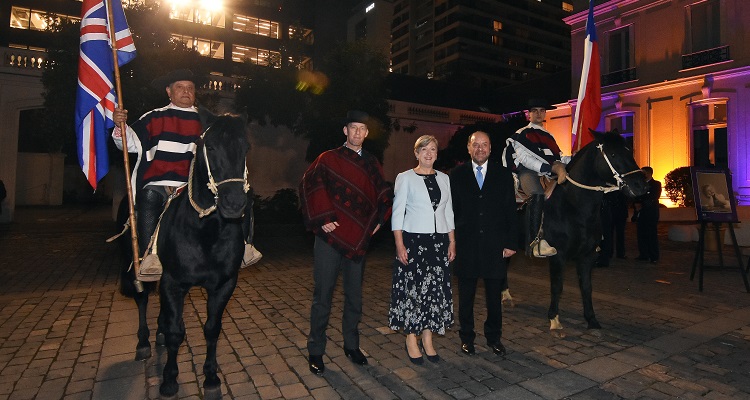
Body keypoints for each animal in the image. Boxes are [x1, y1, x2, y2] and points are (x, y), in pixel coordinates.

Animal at [119, 111, 251, 398]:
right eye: (210, 147)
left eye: (246, 148)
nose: (234, 204)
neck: (205, 230)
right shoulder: (174, 282)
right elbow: (175, 333)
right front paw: (169, 380)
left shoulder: (224, 285)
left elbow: (211, 329)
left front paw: (211, 378)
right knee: (142, 298)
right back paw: (144, 342)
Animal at [544, 131, 648, 338]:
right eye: (614, 154)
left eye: (630, 151)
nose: (641, 185)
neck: (574, 208)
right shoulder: (558, 255)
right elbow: (557, 286)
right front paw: (554, 320)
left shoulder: (587, 256)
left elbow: (586, 287)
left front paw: (591, 320)